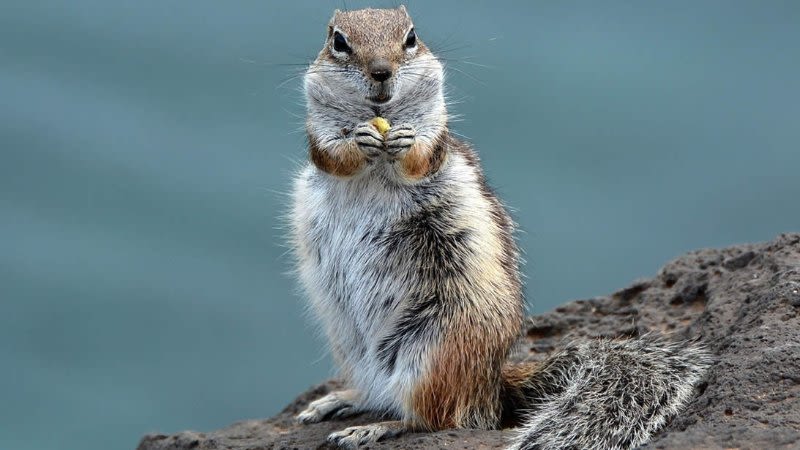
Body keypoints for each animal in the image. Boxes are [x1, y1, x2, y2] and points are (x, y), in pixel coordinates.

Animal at [290, 7, 712, 450]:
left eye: (411, 38)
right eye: (339, 42)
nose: (381, 72)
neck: (380, 117)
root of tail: (491, 387)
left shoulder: (436, 138)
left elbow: (422, 157)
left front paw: (405, 142)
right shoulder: (318, 134)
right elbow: (332, 155)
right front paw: (358, 140)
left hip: (433, 351)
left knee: (435, 417)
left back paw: (375, 427)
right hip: (351, 345)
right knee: (383, 395)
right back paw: (340, 400)